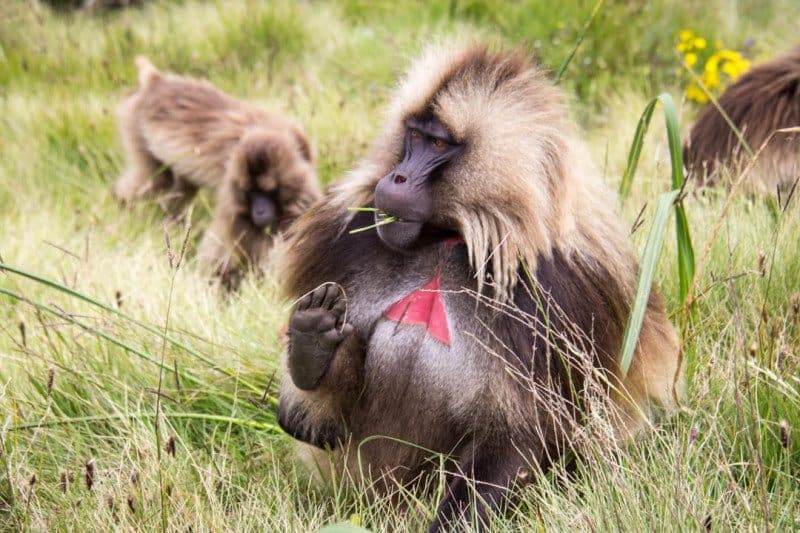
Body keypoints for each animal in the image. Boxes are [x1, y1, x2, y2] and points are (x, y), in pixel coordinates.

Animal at [113, 57, 320, 287]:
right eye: (250, 193)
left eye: (269, 192)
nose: (260, 212)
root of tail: (155, 81)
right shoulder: (231, 190)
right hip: (135, 128)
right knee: (156, 180)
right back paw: (123, 208)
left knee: (179, 189)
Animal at [275, 44, 683, 531]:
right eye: (413, 135)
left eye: (438, 144)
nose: (396, 179)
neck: (454, 237)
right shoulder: (349, 236)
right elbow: (307, 426)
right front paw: (315, 344)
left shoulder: (555, 296)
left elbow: (523, 434)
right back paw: (312, 345)